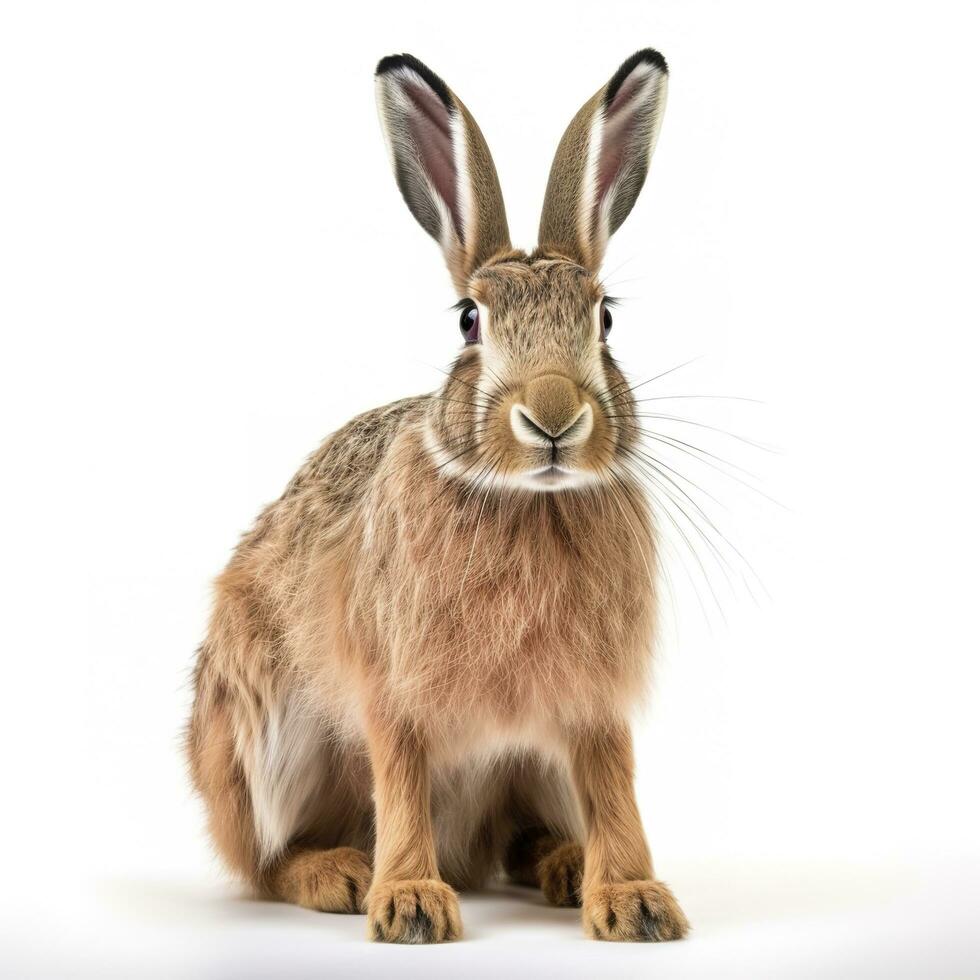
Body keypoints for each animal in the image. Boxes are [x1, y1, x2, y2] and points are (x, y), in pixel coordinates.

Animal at [186, 46, 688, 940]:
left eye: (604, 319)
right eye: (467, 320)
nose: (552, 417)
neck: (528, 501)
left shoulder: (592, 701)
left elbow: (613, 782)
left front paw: (634, 901)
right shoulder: (393, 688)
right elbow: (402, 780)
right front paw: (410, 903)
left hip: (527, 774)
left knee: (524, 833)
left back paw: (564, 866)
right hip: (261, 736)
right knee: (264, 858)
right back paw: (339, 875)